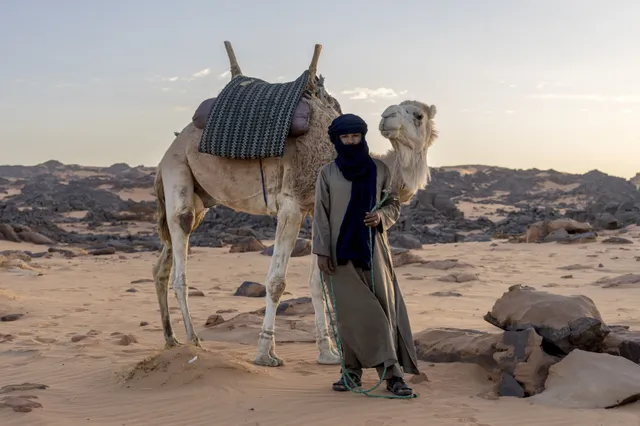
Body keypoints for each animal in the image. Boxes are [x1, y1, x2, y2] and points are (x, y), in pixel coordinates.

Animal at [152, 41, 438, 368]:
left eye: (418, 115)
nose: (387, 116)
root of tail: (169, 149)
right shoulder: (291, 204)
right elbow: (276, 281)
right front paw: (265, 354)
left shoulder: (316, 208)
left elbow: (318, 280)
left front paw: (328, 353)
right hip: (178, 169)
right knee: (180, 243)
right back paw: (193, 339)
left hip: (201, 197)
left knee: (162, 264)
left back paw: (170, 338)